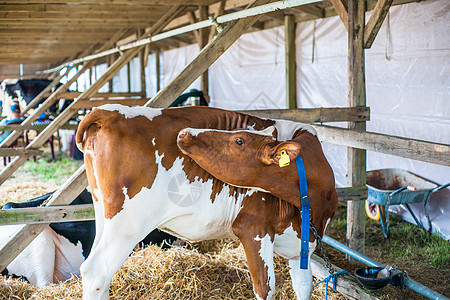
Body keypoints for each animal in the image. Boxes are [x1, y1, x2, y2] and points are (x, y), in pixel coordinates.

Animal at [76, 104, 338, 298]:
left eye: (239, 140)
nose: (185, 132)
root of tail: (110, 111)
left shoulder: (301, 247)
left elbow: (303, 287)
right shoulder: (253, 228)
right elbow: (265, 289)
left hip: (104, 213)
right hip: (128, 223)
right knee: (96, 272)